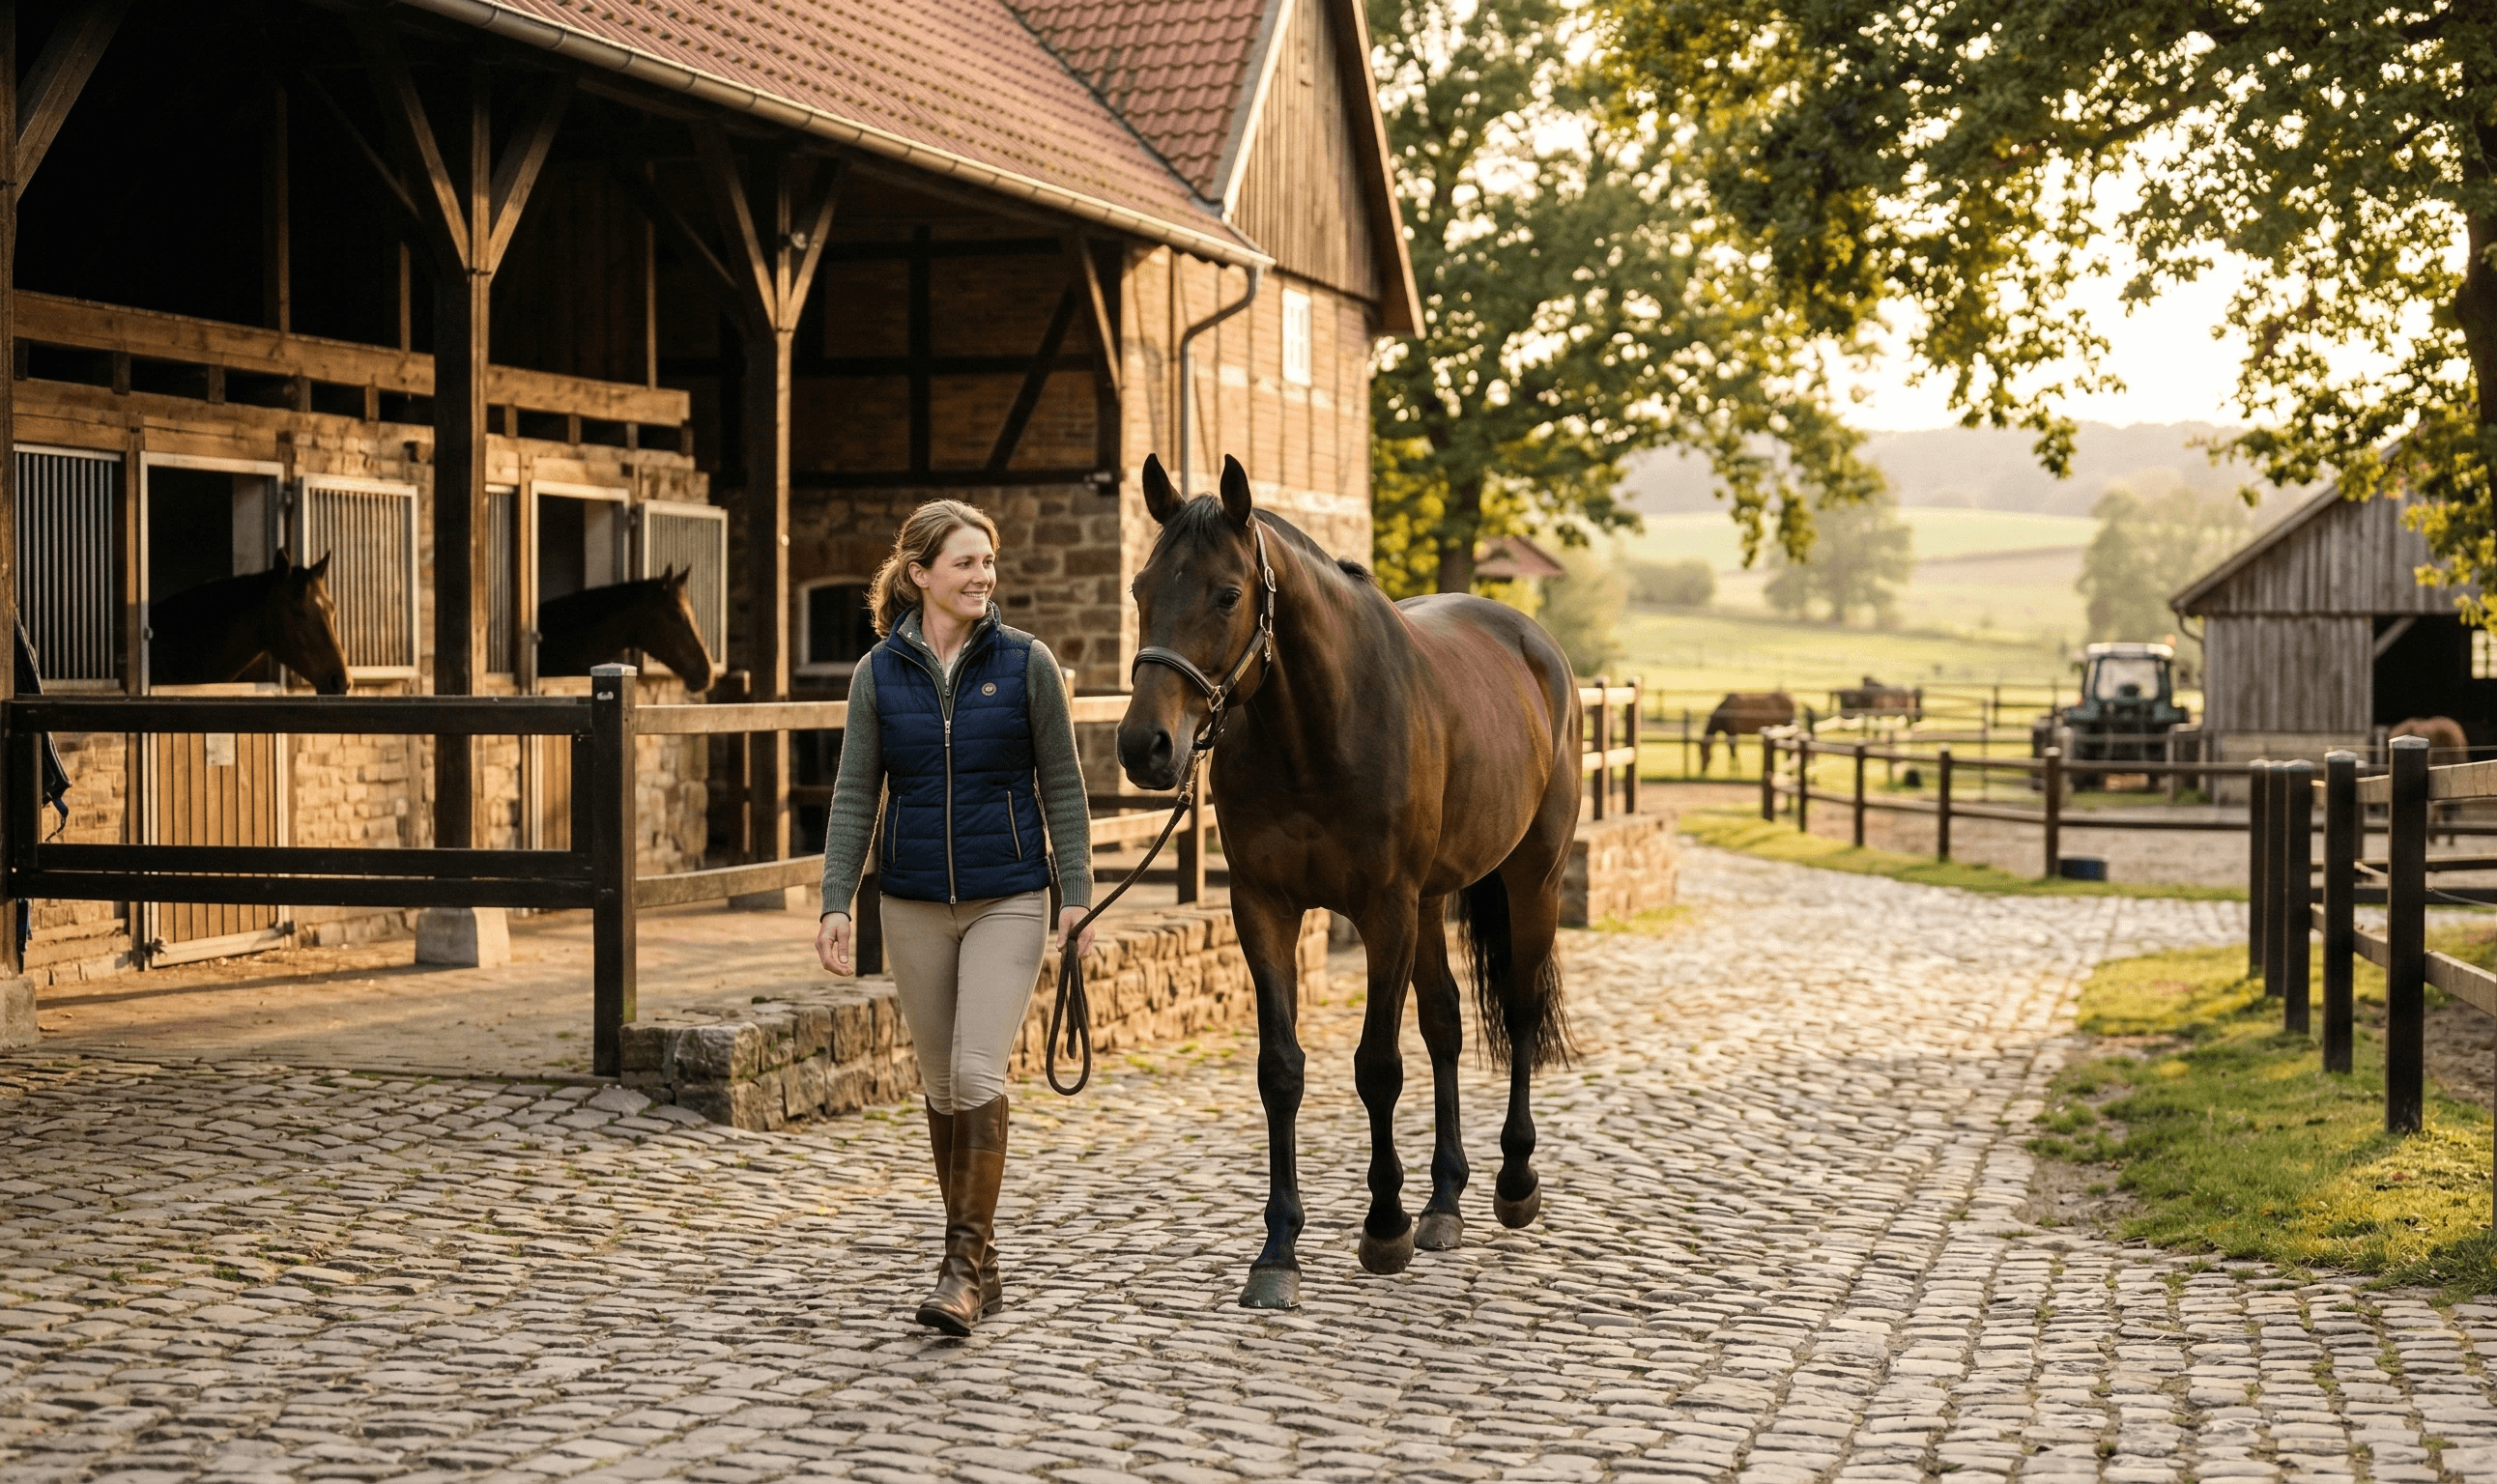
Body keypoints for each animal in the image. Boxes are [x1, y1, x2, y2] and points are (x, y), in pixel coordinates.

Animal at [1117, 454, 1578, 1310]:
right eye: (1141, 588)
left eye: (1227, 594)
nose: (1145, 746)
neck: (1315, 729)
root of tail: (1537, 646)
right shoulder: (1263, 908)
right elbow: (1282, 1070)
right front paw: (1278, 1250)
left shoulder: (1383, 909)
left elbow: (1377, 1067)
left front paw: (1384, 1225)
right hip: (1433, 901)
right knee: (1446, 1023)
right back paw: (1444, 1202)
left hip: (1532, 876)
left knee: (1521, 1011)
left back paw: (1514, 1181)